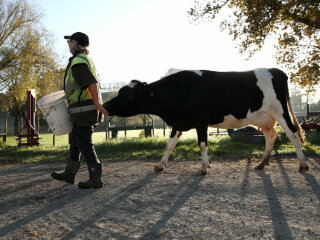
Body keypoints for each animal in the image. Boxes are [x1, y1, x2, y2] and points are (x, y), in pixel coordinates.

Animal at [104, 68, 308, 174]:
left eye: (129, 95)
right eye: (121, 91)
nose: (105, 105)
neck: (179, 90)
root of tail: (276, 71)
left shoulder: (201, 121)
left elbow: (202, 144)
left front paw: (204, 167)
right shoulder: (178, 123)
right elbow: (169, 145)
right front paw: (160, 165)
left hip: (280, 112)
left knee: (292, 134)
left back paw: (303, 164)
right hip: (265, 118)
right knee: (271, 136)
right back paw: (262, 163)